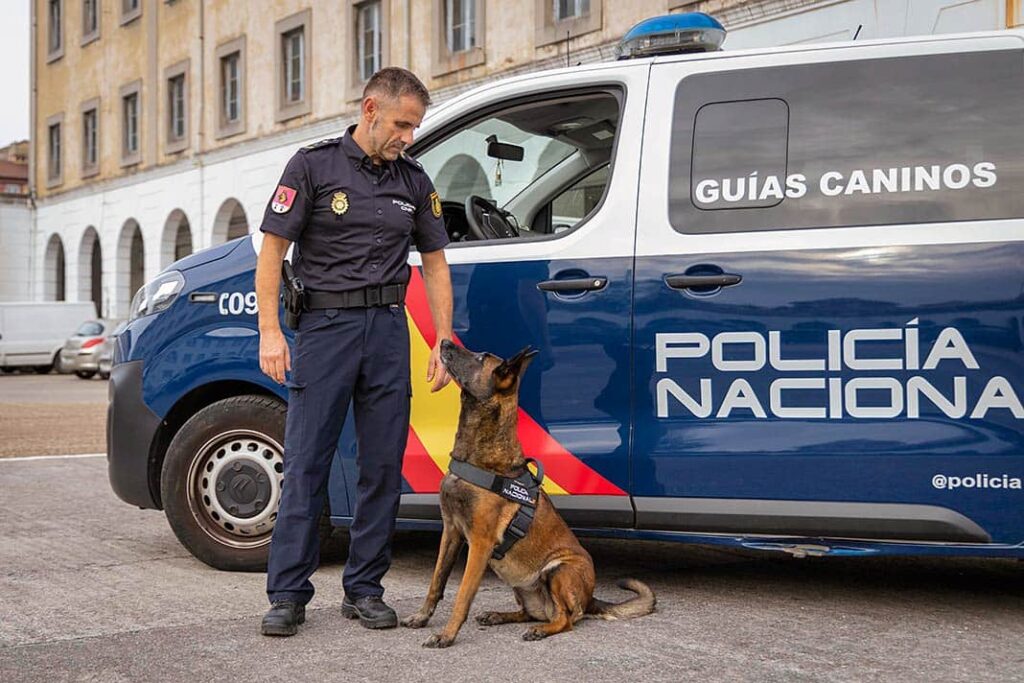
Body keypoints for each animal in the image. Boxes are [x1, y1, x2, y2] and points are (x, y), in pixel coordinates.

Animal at [399, 342, 655, 647]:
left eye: (480, 358)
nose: (445, 343)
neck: (479, 455)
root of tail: (591, 597)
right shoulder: (451, 532)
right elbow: (436, 582)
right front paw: (422, 617)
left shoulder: (480, 544)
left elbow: (462, 596)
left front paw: (447, 635)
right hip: (520, 584)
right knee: (530, 613)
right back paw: (498, 616)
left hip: (558, 570)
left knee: (567, 618)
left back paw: (541, 630)